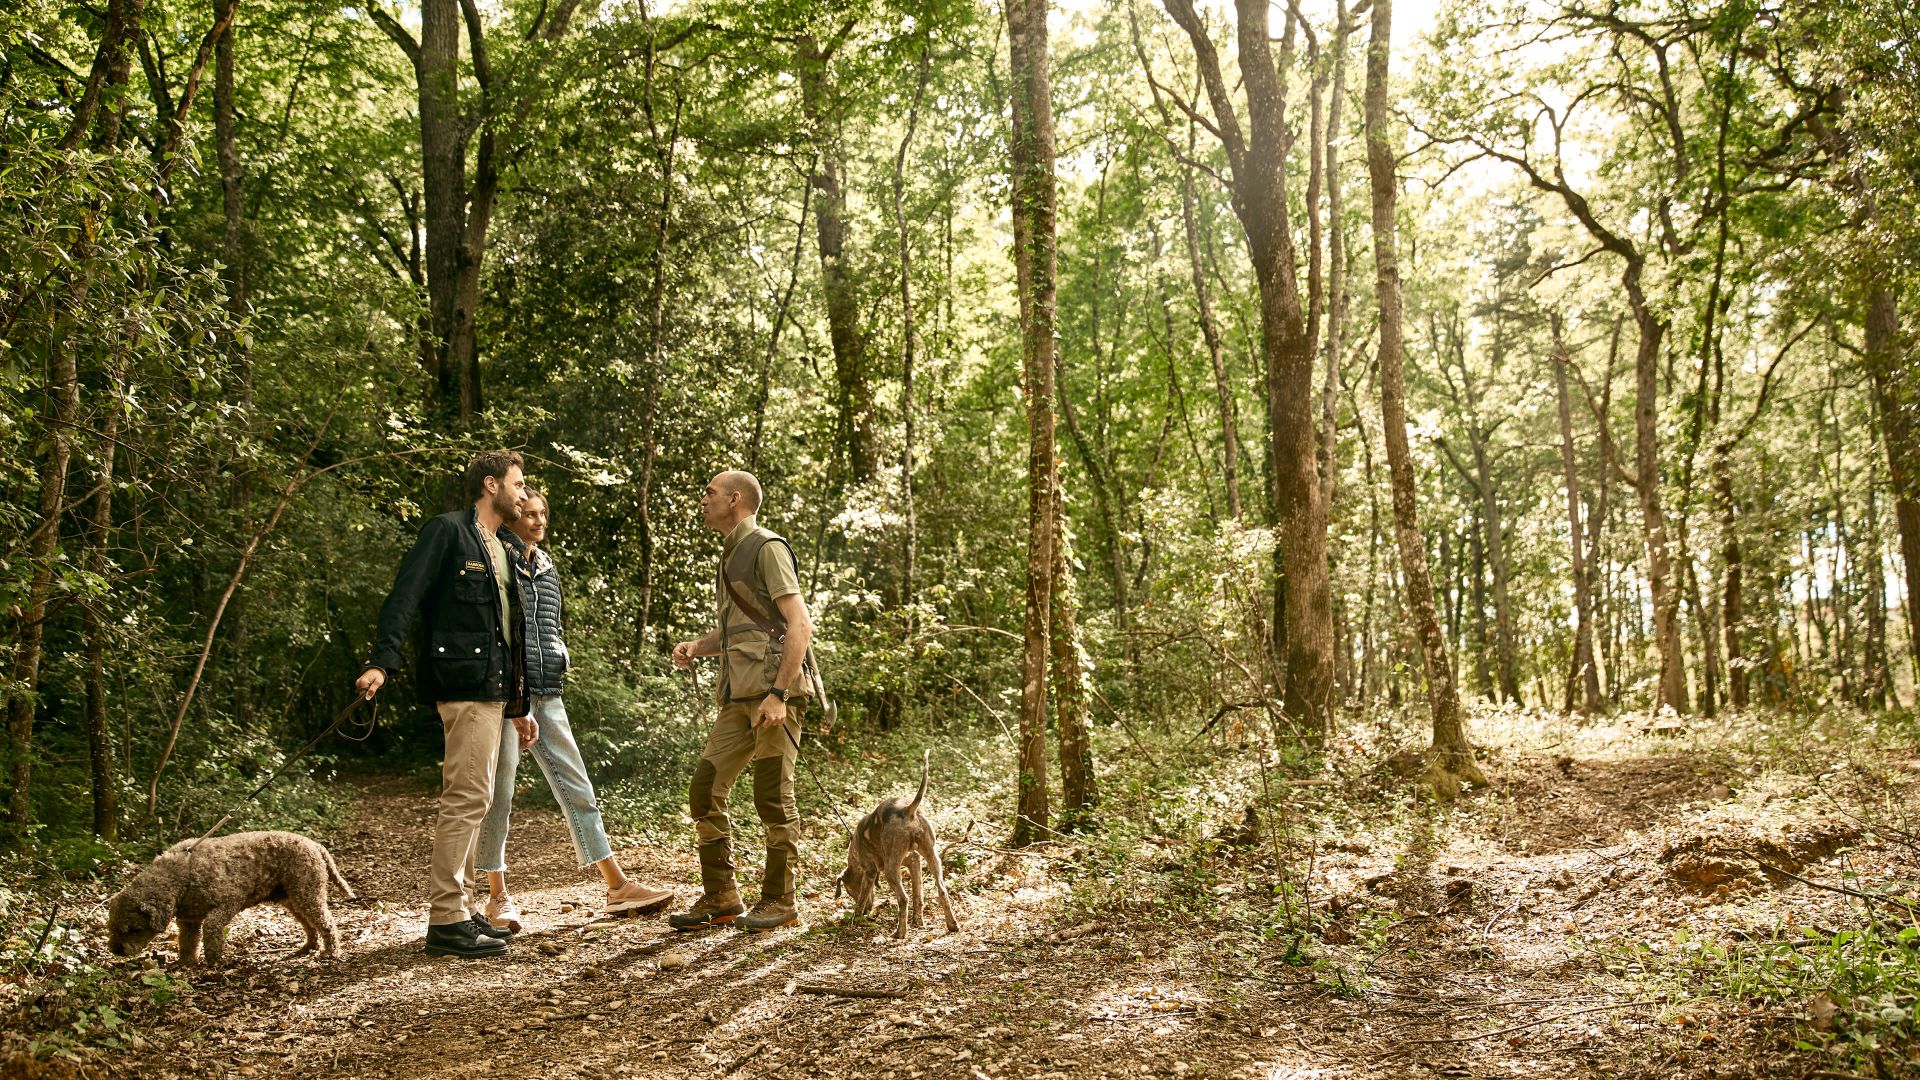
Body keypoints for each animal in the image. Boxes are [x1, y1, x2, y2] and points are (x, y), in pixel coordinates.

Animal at [108, 826, 357, 960]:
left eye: (132, 929)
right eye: (112, 928)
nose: (116, 950)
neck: (181, 876)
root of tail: (314, 844)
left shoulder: (228, 903)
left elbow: (211, 929)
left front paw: (213, 959)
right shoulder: (188, 921)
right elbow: (188, 943)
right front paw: (187, 963)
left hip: (307, 895)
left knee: (326, 923)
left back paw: (330, 951)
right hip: (293, 899)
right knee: (310, 924)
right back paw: (310, 946)